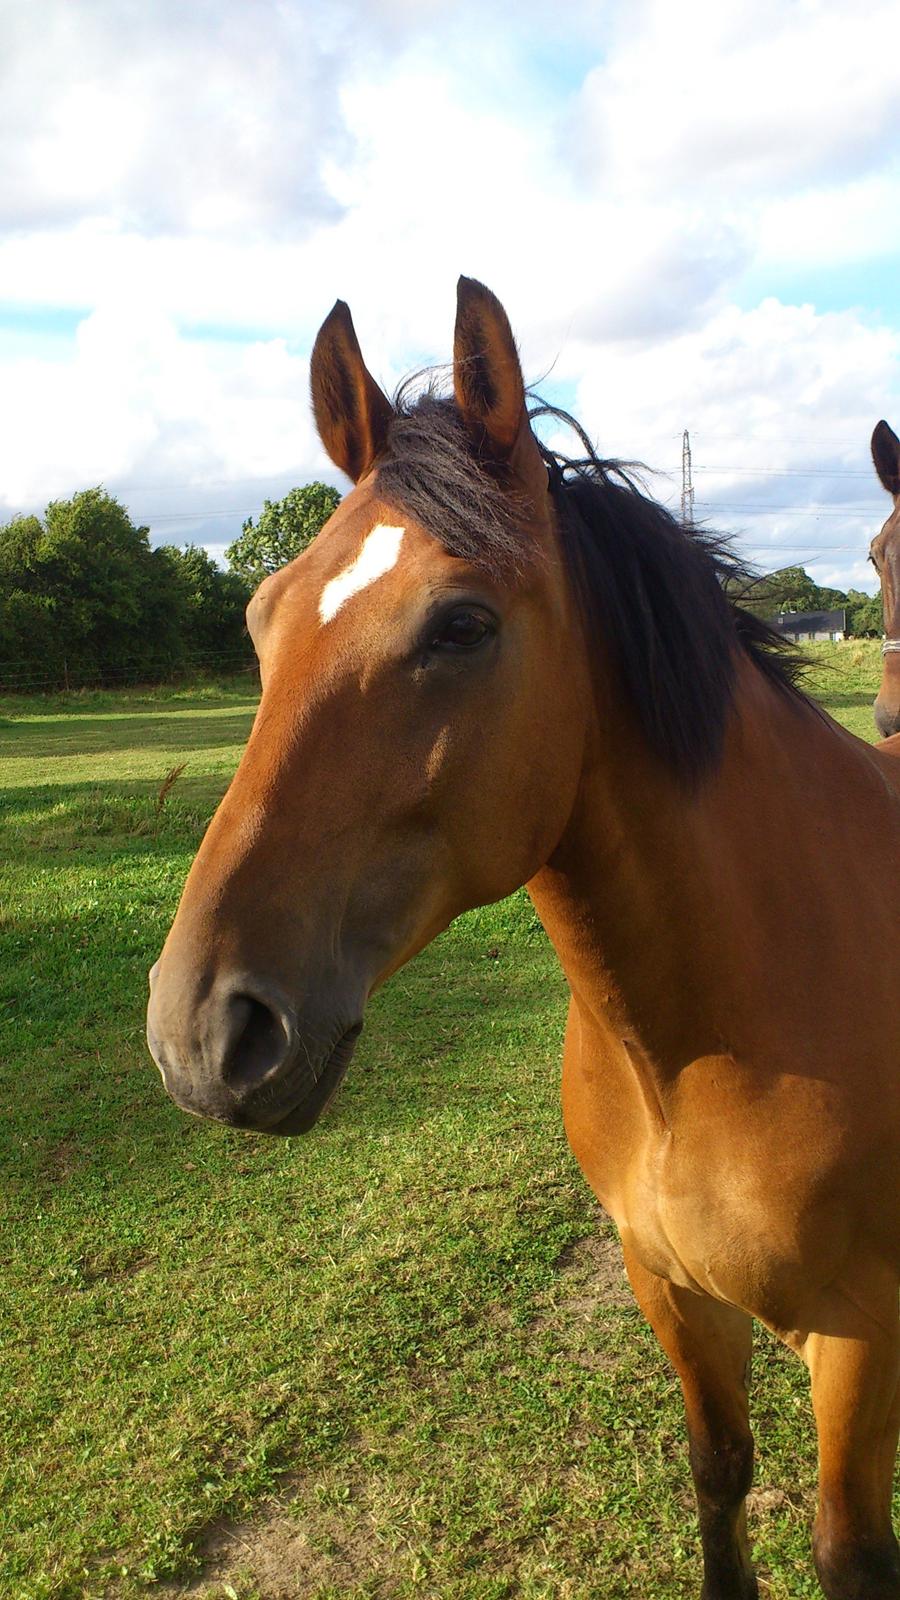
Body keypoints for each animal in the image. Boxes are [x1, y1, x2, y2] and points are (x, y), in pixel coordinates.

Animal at [148, 281, 896, 1593]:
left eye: (461, 624)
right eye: (259, 616)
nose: (203, 1032)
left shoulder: (861, 1339)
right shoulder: (673, 1291)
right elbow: (719, 1477)